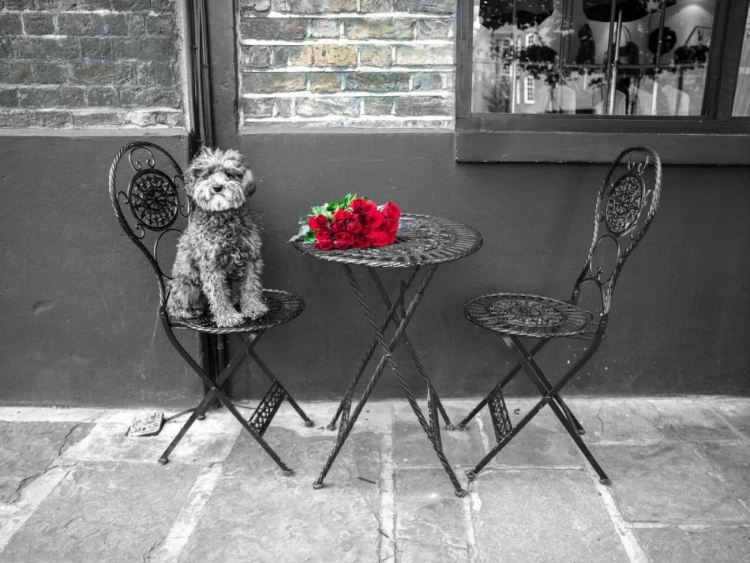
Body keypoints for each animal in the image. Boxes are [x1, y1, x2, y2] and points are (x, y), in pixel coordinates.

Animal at [168, 148, 270, 328]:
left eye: (229, 173)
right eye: (208, 174)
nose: (217, 187)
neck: (224, 216)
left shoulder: (250, 258)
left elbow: (251, 285)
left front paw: (253, 307)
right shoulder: (211, 264)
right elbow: (218, 293)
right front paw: (227, 316)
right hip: (188, 283)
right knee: (176, 303)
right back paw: (187, 311)